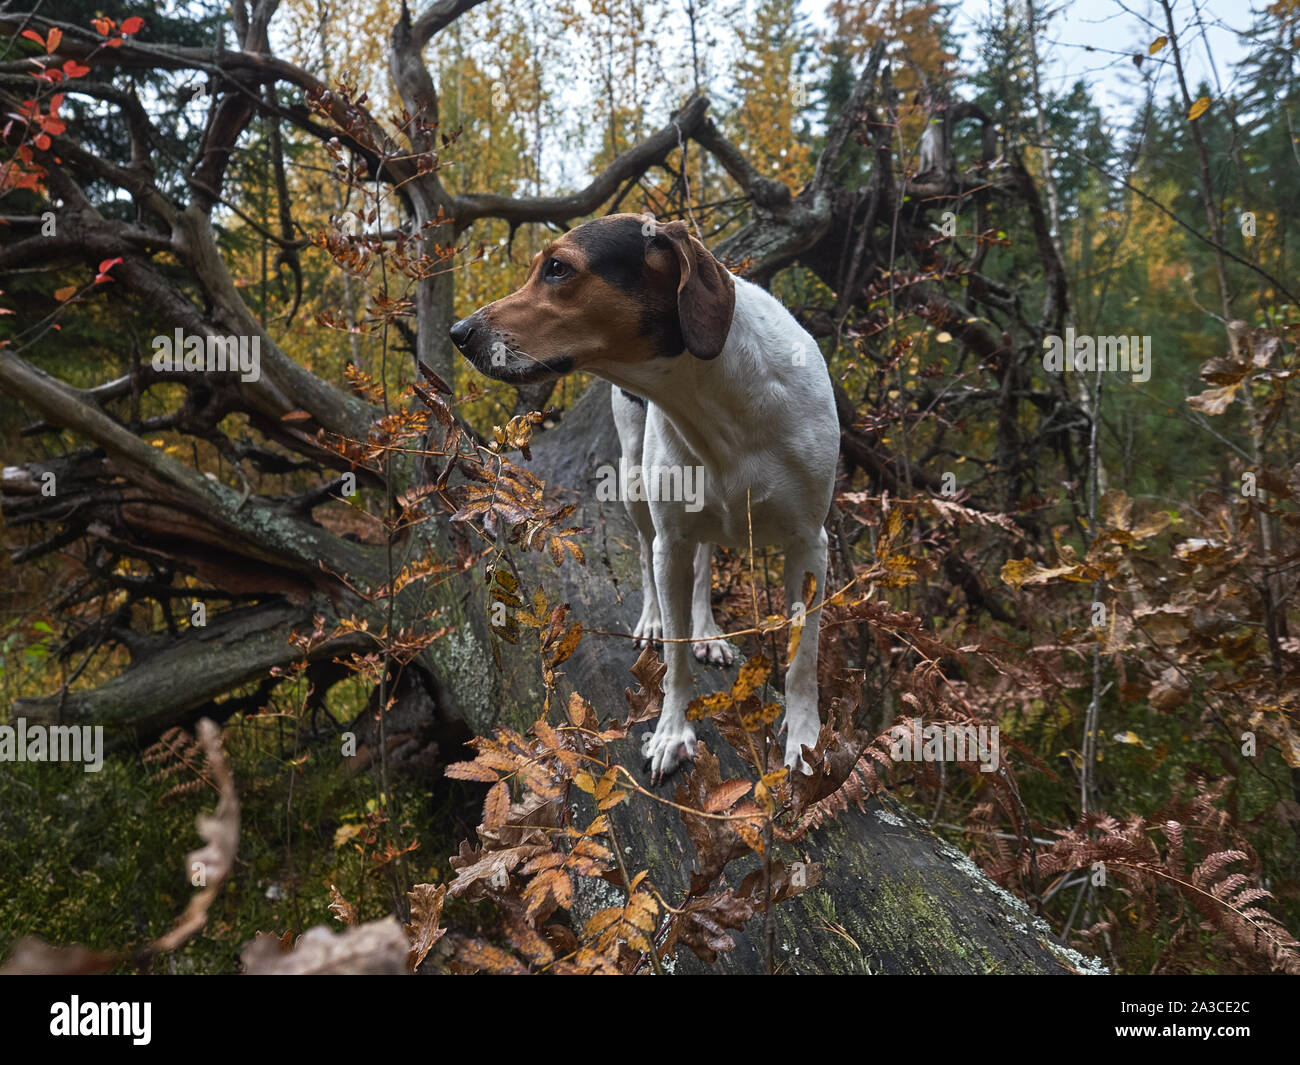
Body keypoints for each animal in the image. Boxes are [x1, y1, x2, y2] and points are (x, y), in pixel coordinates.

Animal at [454, 214, 842, 785]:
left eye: (557, 268)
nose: (459, 334)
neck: (717, 400)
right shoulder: (672, 539)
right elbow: (676, 661)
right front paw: (672, 734)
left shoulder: (810, 545)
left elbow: (804, 659)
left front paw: (804, 740)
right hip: (638, 486)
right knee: (646, 554)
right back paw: (654, 620)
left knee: (705, 563)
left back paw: (707, 629)